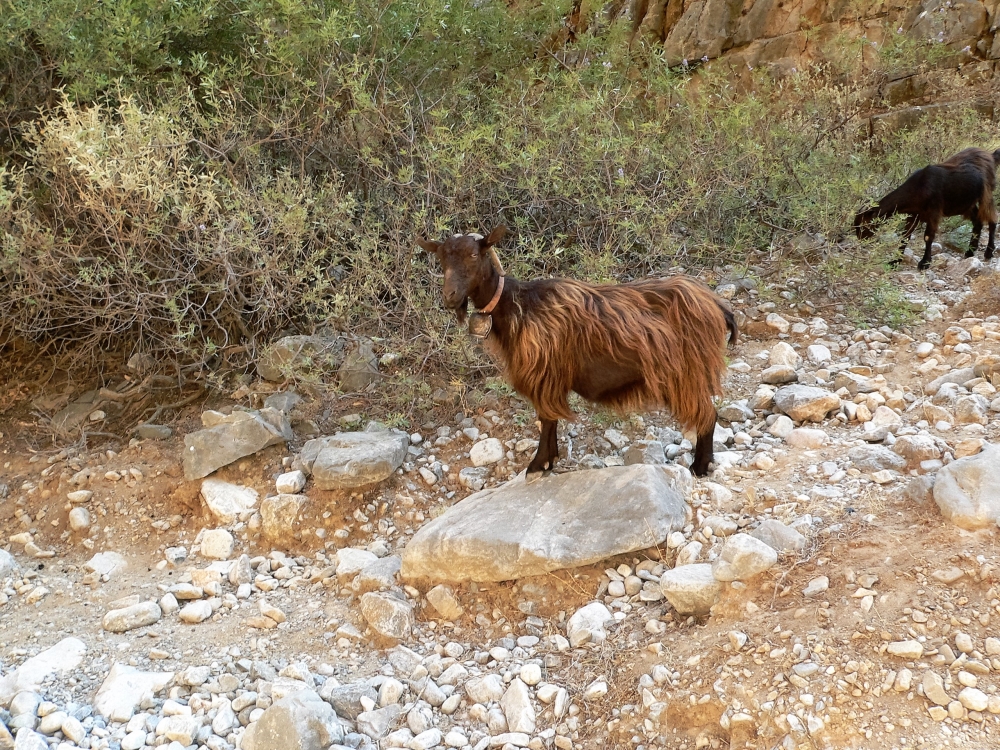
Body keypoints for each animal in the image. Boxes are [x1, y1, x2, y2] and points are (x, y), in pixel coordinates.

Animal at [418, 226, 740, 478]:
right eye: (441, 258)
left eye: (474, 255)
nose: (450, 296)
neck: (517, 304)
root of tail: (718, 306)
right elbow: (548, 419)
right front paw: (548, 461)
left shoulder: (544, 374)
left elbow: (547, 418)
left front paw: (537, 465)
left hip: (687, 370)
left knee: (707, 413)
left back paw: (699, 467)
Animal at [852, 147, 1000, 270]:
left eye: (863, 224)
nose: (861, 240)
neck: (919, 188)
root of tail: (991, 156)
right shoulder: (914, 214)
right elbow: (905, 236)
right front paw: (895, 261)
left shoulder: (933, 212)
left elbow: (928, 237)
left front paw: (924, 263)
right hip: (966, 204)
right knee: (978, 222)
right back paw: (970, 251)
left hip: (985, 194)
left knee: (992, 219)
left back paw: (988, 252)